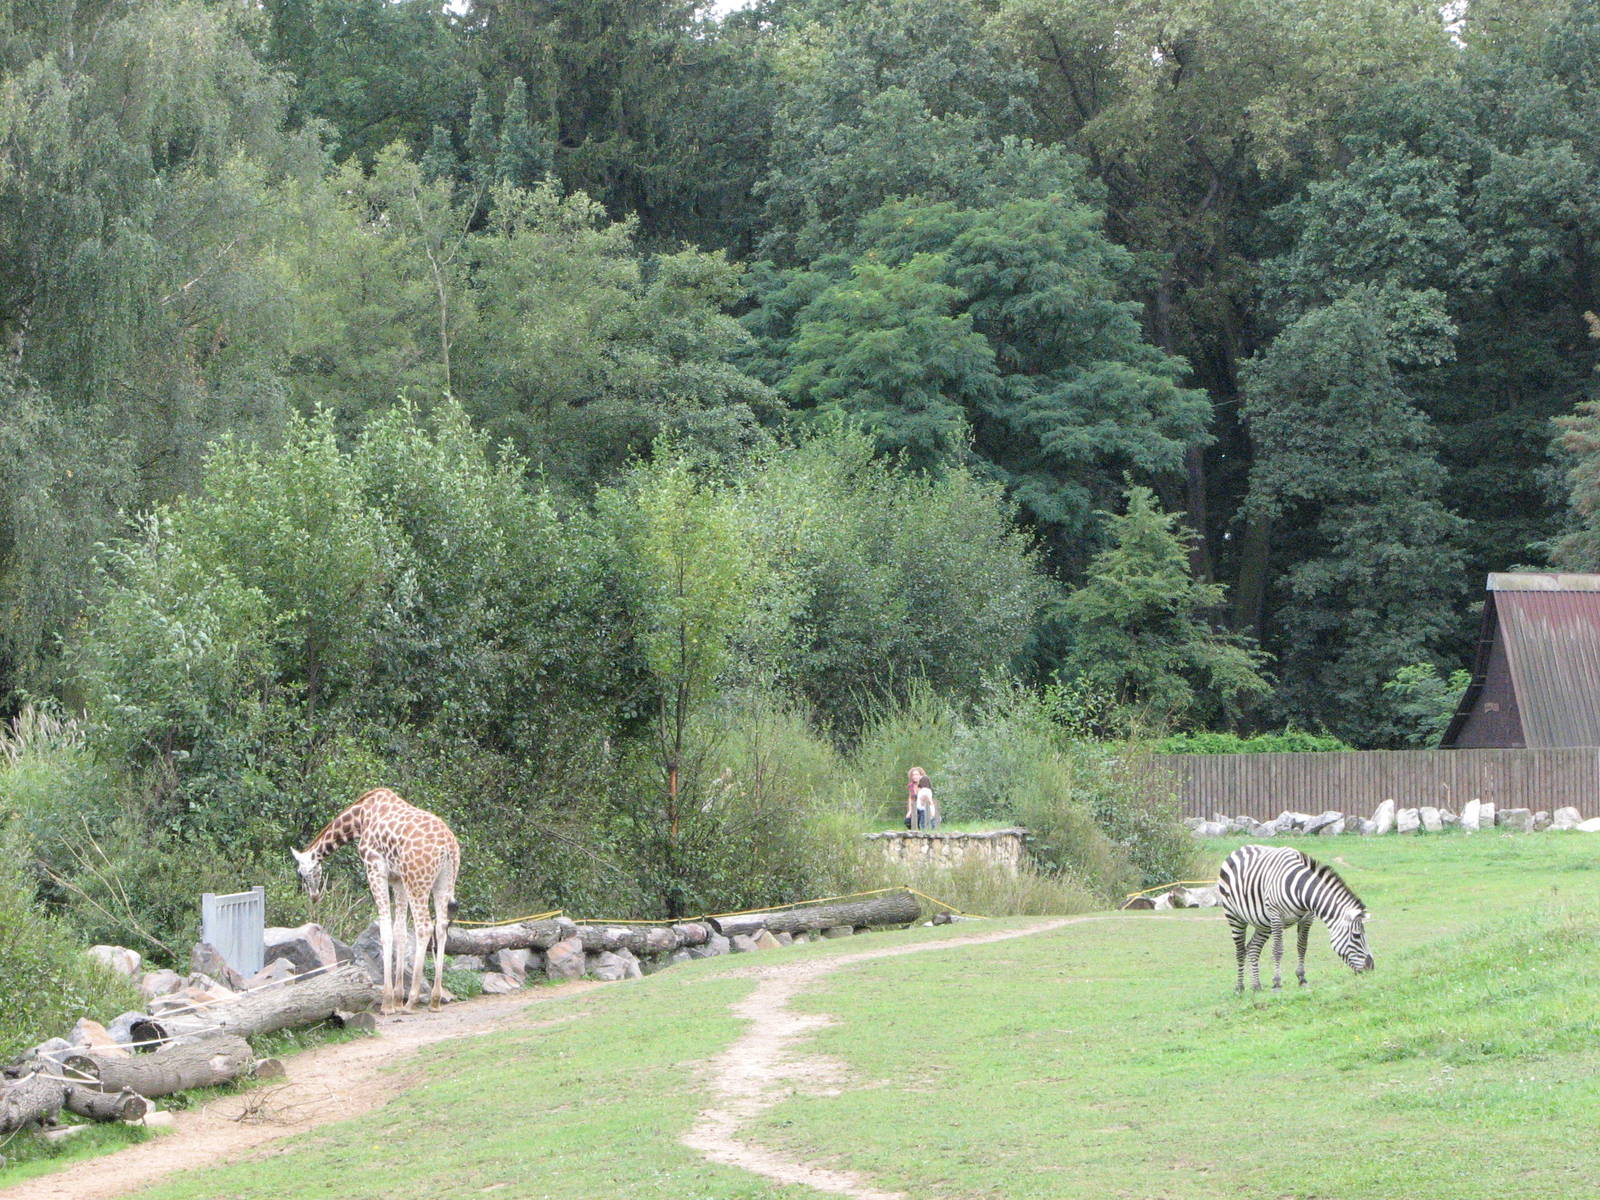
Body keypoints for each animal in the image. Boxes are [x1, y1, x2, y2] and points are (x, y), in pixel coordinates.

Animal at [291, 788, 461, 1014]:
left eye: (302, 873)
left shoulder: (375, 868)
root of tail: (448, 847)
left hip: (417, 881)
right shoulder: (397, 879)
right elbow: (400, 932)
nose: (314, 896)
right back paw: (434, 999)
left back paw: (412, 1000)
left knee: (424, 926)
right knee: (441, 926)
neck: (360, 818)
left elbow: (385, 931)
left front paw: (388, 1002)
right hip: (443, 881)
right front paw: (397, 997)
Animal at [1217, 843, 1375, 992]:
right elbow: (1277, 949)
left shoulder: (1308, 917)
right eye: (1356, 936)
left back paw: (1256, 986)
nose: (1371, 967)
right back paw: (1240, 986)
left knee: (1253, 948)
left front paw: (1302, 978)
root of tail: (1240, 848)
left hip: (1263, 922)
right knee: (1240, 951)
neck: (1301, 891)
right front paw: (1277, 983)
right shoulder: (1276, 915)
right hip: (1234, 916)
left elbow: (1302, 946)